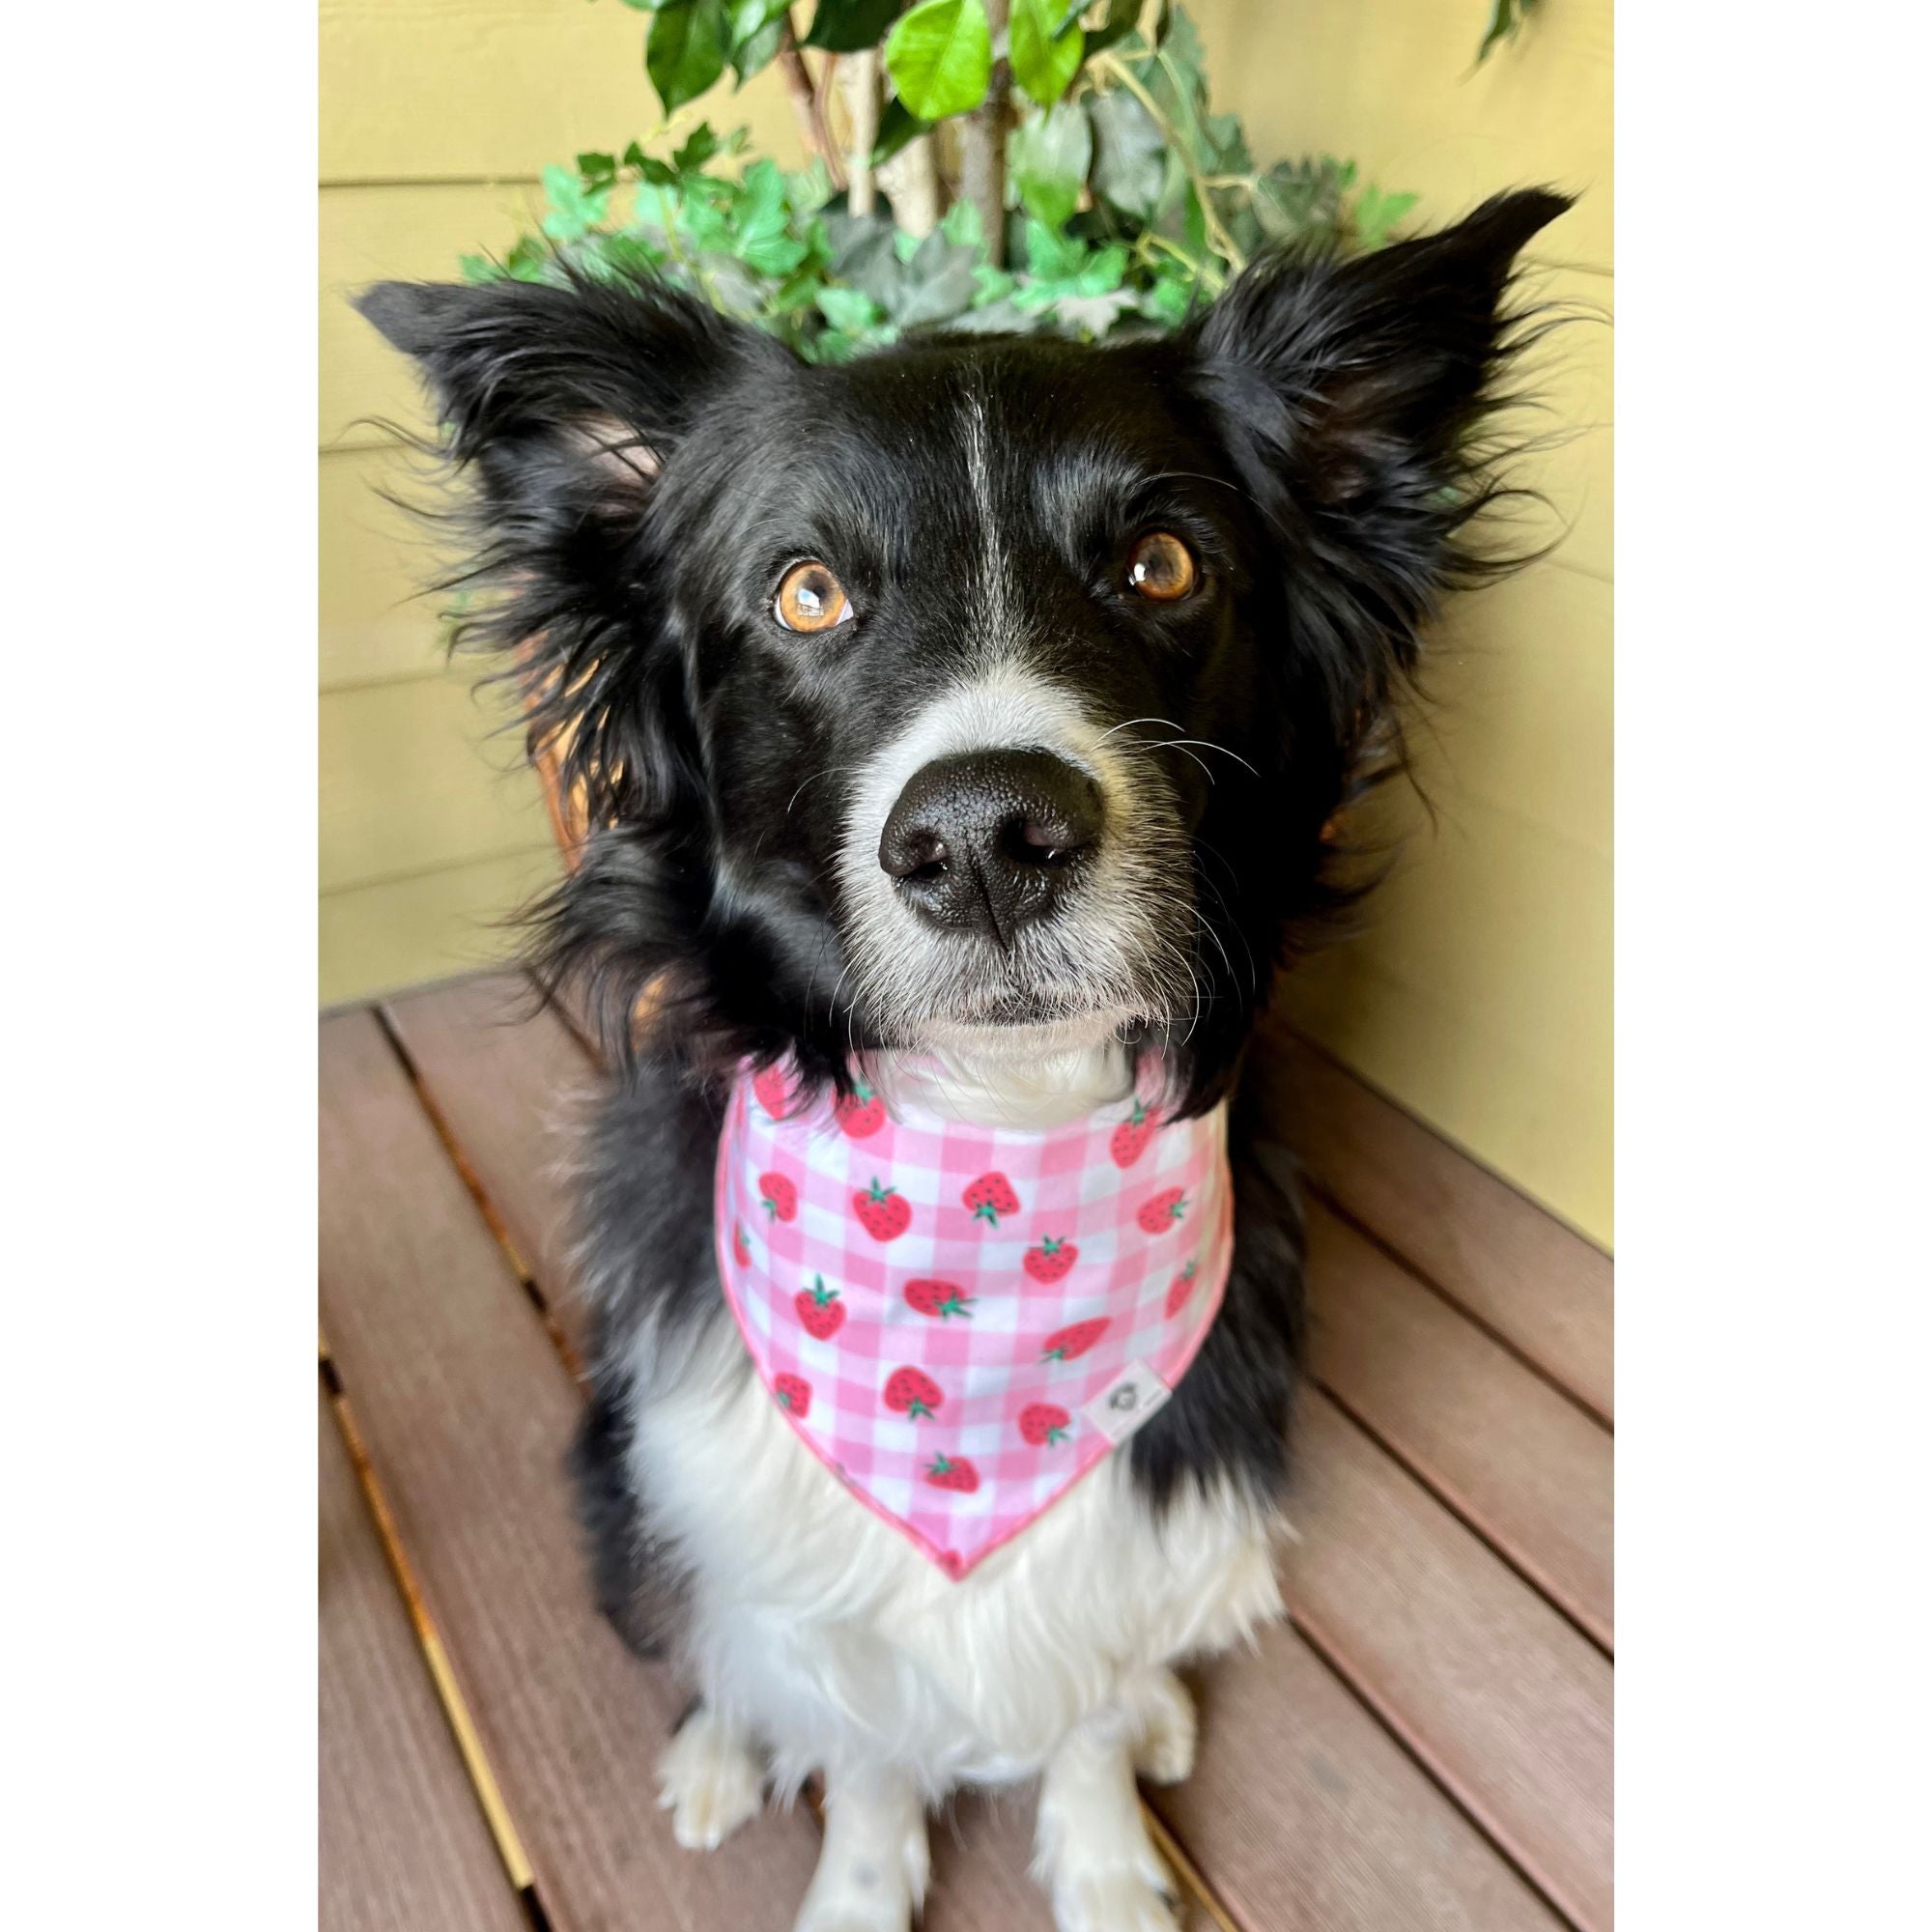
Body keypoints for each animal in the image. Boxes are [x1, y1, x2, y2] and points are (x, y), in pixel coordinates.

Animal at [359, 185, 1569, 1932]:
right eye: (805, 593)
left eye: (1161, 563)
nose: (992, 839)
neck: (996, 1156)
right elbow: (865, 1748)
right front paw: (860, 1885)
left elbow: (1081, 1709)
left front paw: (1109, 1862)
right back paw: (720, 1752)